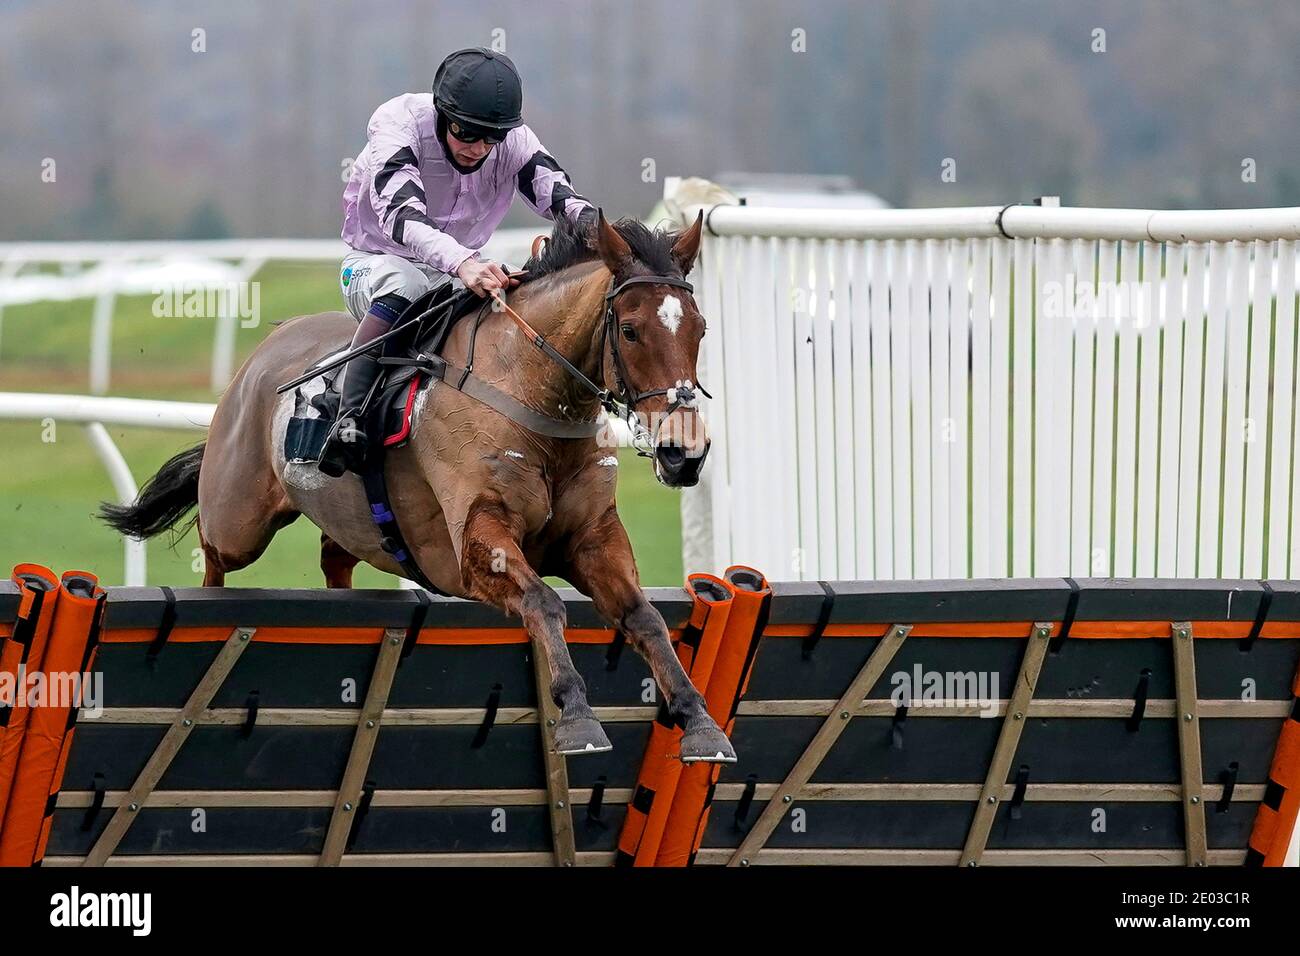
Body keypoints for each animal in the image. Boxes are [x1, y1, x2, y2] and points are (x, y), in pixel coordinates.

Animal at [101, 210, 733, 764]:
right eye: (629, 330)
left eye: (701, 329)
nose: (683, 453)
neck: (532, 395)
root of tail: (262, 354)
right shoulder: (475, 544)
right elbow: (543, 601)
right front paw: (578, 717)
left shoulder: (592, 536)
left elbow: (643, 617)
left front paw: (700, 722)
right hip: (238, 518)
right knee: (214, 555)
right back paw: (210, 605)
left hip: (348, 522)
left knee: (334, 560)